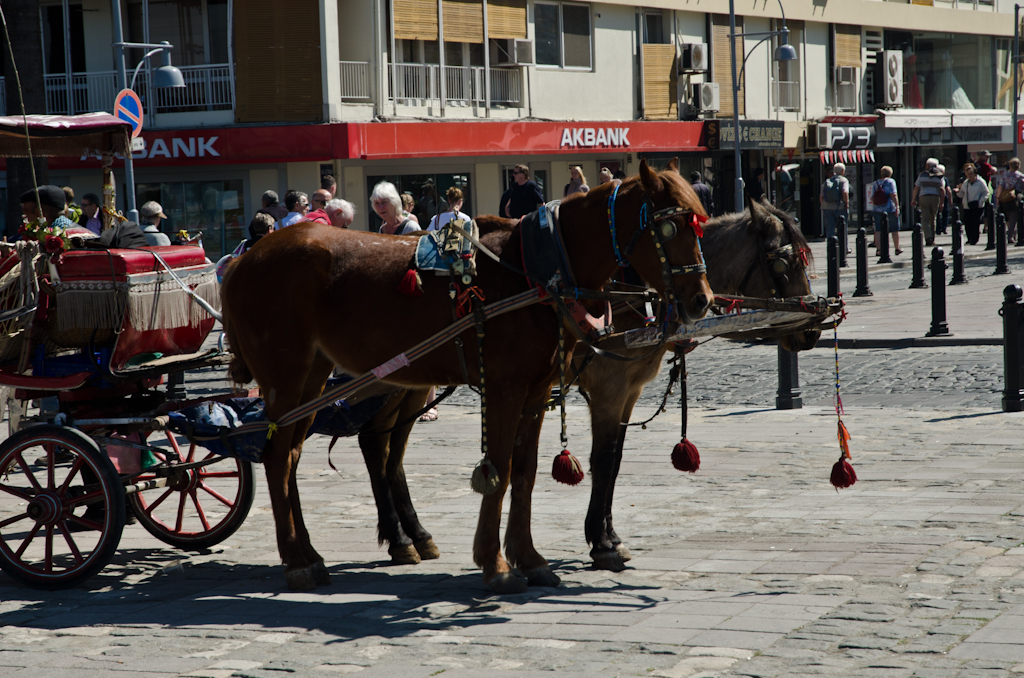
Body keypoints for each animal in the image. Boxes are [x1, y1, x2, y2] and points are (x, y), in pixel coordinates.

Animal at [218, 160, 712, 594]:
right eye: (670, 228)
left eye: (700, 225)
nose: (701, 300)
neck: (534, 272)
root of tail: (244, 260)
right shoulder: (511, 388)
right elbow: (506, 469)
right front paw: (497, 565)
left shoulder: (537, 391)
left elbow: (526, 471)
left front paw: (529, 558)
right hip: (287, 379)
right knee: (280, 457)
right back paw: (297, 561)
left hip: (321, 381)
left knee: (301, 455)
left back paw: (325, 552)